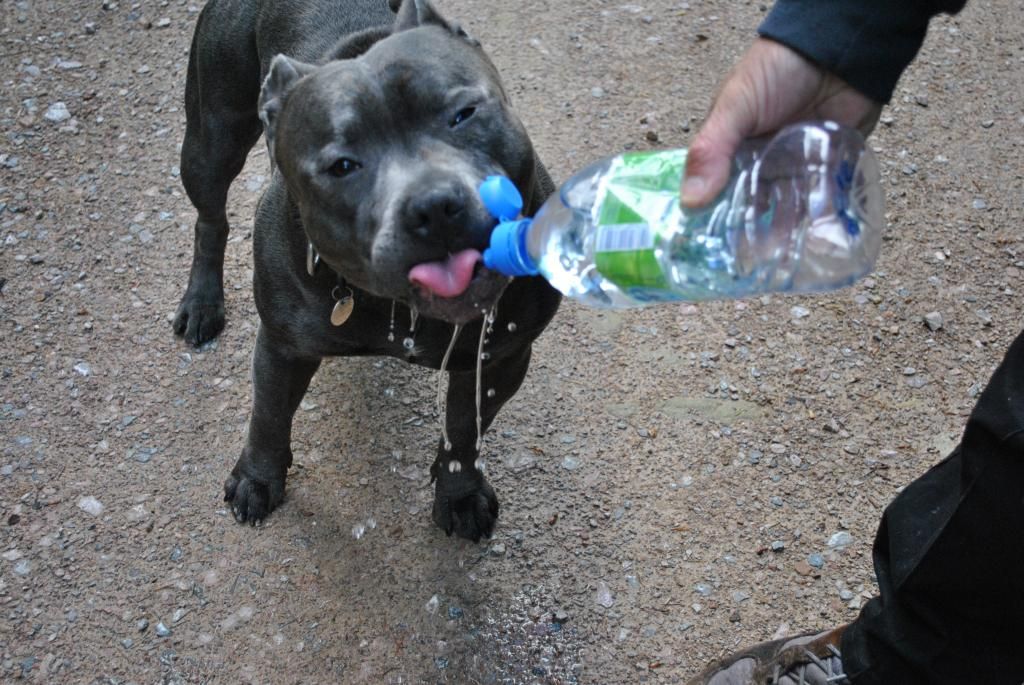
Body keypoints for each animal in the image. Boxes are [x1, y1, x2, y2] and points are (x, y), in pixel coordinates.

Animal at [174, 0, 561, 540]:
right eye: (342, 165)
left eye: (463, 114)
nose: (435, 204)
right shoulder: (282, 347)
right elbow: (268, 417)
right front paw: (257, 478)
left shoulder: (501, 358)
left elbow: (465, 432)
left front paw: (459, 493)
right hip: (213, 138)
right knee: (210, 217)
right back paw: (202, 302)